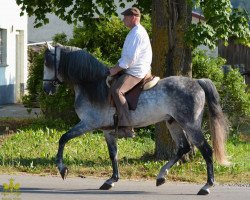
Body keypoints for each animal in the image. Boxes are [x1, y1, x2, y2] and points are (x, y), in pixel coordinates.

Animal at [43, 44, 229, 195]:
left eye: (47, 63)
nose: (46, 88)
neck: (92, 85)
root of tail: (197, 82)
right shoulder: (107, 131)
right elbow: (113, 154)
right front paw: (111, 180)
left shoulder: (87, 124)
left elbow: (63, 139)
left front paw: (62, 169)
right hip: (173, 123)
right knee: (183, 148)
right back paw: (161, 176)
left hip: (190, 125)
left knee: (206, 150)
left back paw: (206, 186)